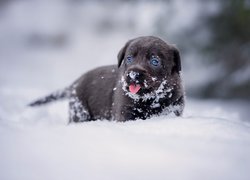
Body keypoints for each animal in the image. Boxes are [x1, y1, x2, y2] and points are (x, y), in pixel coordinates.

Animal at [29, 35, 186, 121]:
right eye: (129, 58)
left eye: (155, 61)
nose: (133, 74)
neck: (150, 100)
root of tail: (75, 83)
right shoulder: (124, 112)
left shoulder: (174, 107)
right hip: (80, 111)